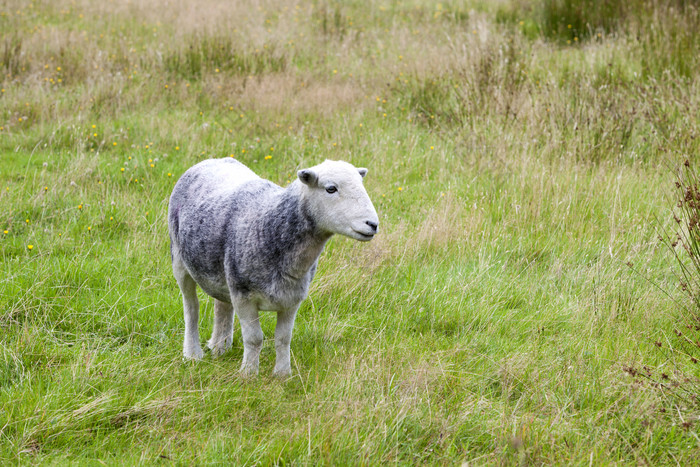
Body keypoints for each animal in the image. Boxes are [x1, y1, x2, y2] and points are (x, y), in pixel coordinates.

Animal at [167, 159, 380, 378]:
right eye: (331, 188)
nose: (373, 224)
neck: (270, 227)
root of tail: (211, 160)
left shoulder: (292, 297)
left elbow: (283, 338)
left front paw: (283, 375)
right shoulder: (243, 296)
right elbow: (254, 338)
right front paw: (249, 374)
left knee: (222, 305)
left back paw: (220, 347)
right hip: (179, 260)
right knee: (191, 308)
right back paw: (192, 353)